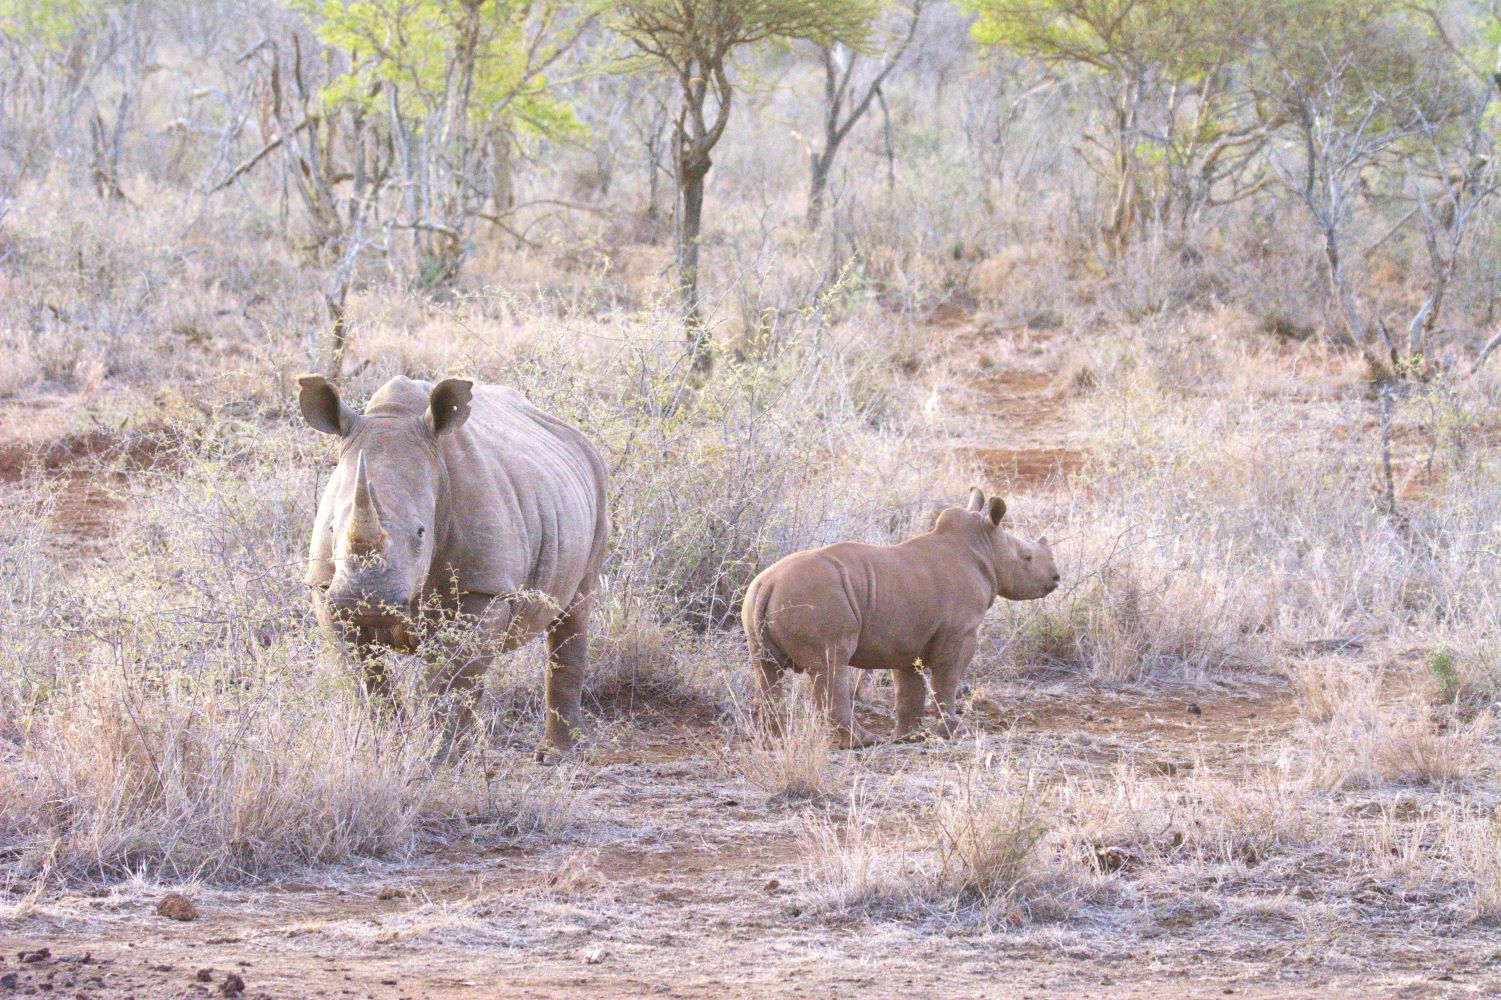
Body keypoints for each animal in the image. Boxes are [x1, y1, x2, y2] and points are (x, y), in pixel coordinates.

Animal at [298, 374, 608, 759]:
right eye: (330, 530)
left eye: (420, 533)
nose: (365, 603)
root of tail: (577, 439)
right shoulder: (325, 589)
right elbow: (369, 679)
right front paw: (388, 752)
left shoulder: (484, 587)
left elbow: (447, 680)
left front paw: (436, 759)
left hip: (597, 484)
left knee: (575, 611)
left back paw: (558, 755)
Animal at [741, 488, 1058, 747]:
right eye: (1027, 557)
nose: (1056, 578)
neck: (984, 545)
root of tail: (767, 585)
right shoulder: (959, 632)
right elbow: (947, 681)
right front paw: (956, 733)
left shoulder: (908, 639)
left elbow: (909, 689)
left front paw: (909, 737)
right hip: (816, 598)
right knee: (830, 667)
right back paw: (865, 743)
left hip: (756, 601)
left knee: (766, 669)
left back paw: (774, 742)